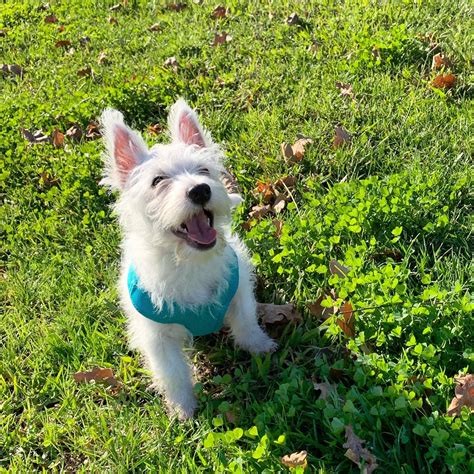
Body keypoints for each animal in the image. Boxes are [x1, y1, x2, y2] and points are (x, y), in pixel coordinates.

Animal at [102, 100, 276, 418]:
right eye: (158, 181)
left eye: (204, 170)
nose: (200, 189)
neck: (189, 262)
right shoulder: (158, 339)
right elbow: (173, 373)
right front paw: (182, 408)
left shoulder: (240, 292)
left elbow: (246, 324)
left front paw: (260, 346)